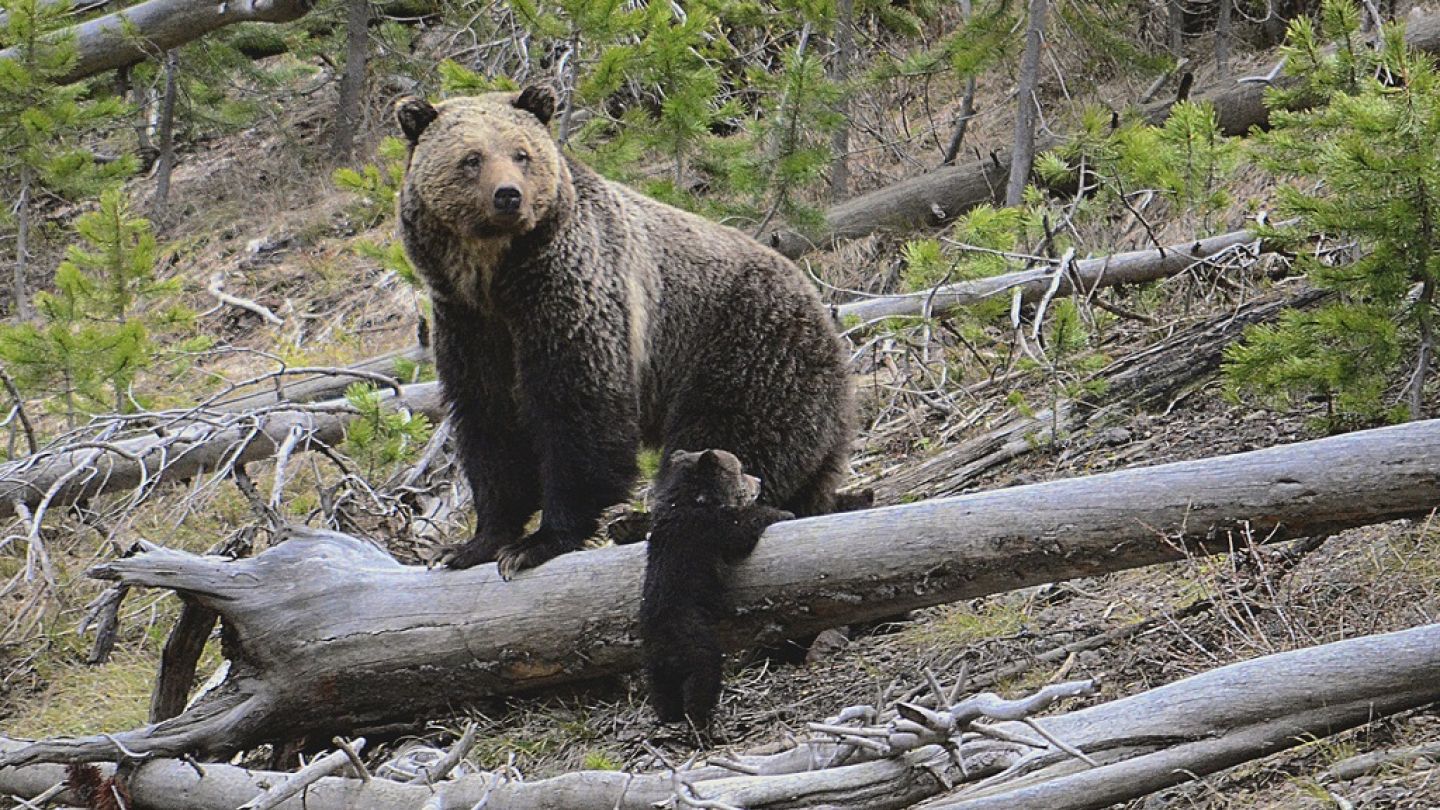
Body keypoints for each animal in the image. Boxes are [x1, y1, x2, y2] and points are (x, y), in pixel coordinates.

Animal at [394, 86, 852, 573]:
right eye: (471, 158)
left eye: (521, 154)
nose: (508, 196)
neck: (495, 278)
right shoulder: (468, 324)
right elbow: (490, 422)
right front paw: (472, 544)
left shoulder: (570, 296)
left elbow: (578, 410)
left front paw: (539, 542)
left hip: (746, 348)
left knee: (727, 438)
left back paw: (643, 519)